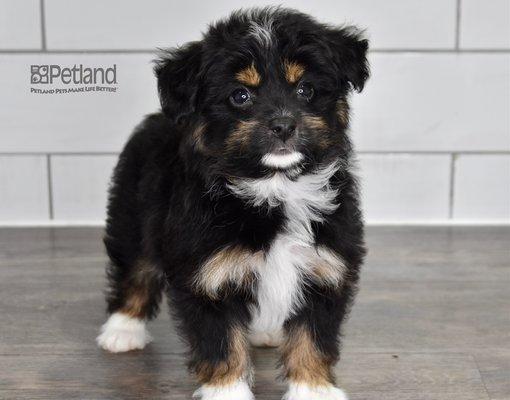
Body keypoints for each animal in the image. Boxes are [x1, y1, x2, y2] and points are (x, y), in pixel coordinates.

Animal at [96, 7, 366, 400]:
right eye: (240, 96)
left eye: (306, 89)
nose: (283, 125)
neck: (273, 188)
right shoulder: (207, 275)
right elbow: (222, 342)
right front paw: (227, 391)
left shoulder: (325, 267)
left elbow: (312, 336)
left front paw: (314, 389)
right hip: (131, 213)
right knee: (136, 267)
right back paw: (122, 329)